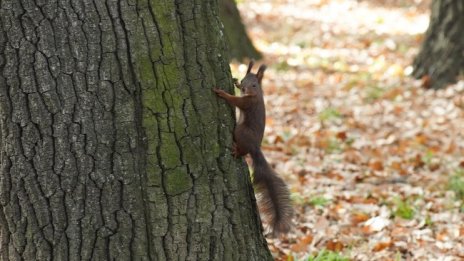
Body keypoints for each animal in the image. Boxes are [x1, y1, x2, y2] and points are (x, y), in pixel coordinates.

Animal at [213, 61, 292, 236]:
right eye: (244, 80)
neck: (256, 94)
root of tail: (255, 148)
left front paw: (222, 93)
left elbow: (235, 101)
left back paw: (236, 151)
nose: (243, 88)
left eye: (254, 85)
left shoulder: (248, 103)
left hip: (240, 131)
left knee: (243, 149)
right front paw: (234, 82)